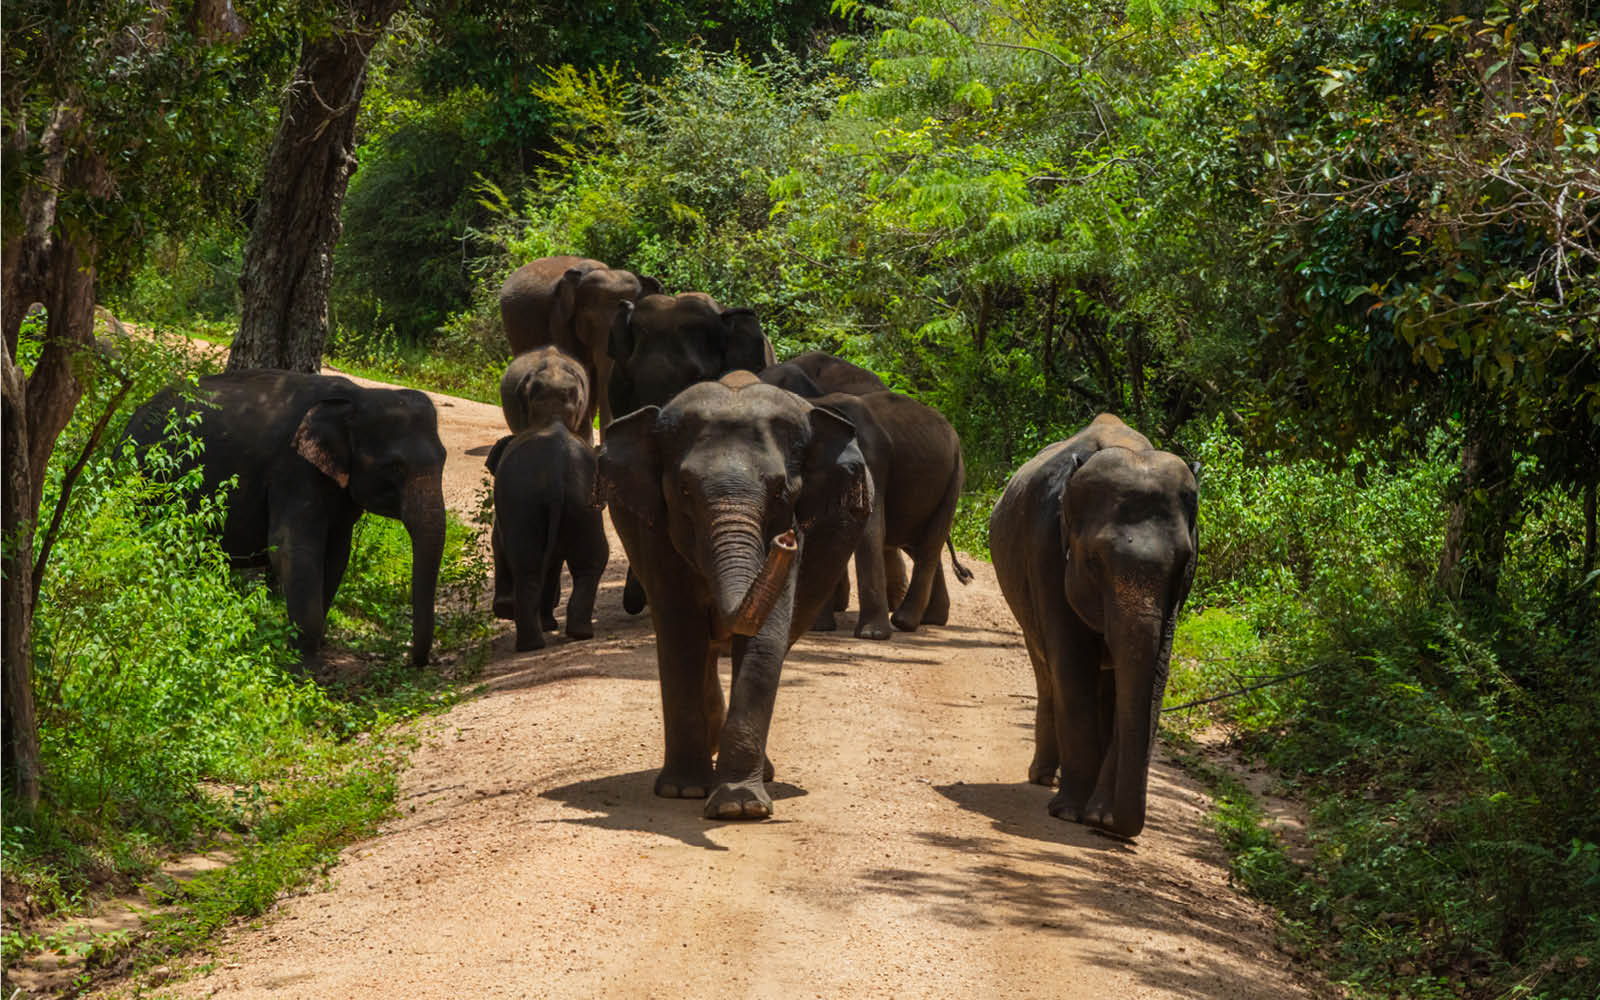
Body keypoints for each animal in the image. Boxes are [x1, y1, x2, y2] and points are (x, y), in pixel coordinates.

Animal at [125, 374, 448, 672]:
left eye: (444, 459)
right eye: (394, 467)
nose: (413, 661)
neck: (356, 397)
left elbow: (336, 555)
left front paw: (313, 648)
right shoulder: (293, 470)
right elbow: (292, 549)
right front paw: (303, 667)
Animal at [483, 419, 608, 646]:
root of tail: (556, 470)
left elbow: (498, 542)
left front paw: (504, 609)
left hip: (525, 502)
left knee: (529, 566)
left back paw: (534, 639)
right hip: (582, 501)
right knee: (588, 563)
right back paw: (570, 635)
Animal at [601, 374, 876, 819]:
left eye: (781, 490)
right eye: (684, 489)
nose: (784, 540)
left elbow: (765, 638)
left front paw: (739, 808)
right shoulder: (655, 530)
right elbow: (680, 631)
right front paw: (683, 791)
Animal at [985, 409, 1203, 838]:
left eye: (1182, 564)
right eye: (1094, 560)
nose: (1119, 828)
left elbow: (1153, 674)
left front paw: (1099, 817)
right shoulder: (1045, 549)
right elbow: (1072, 664)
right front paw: (1070, 813)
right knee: (1046, 669)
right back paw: (1044, 778)